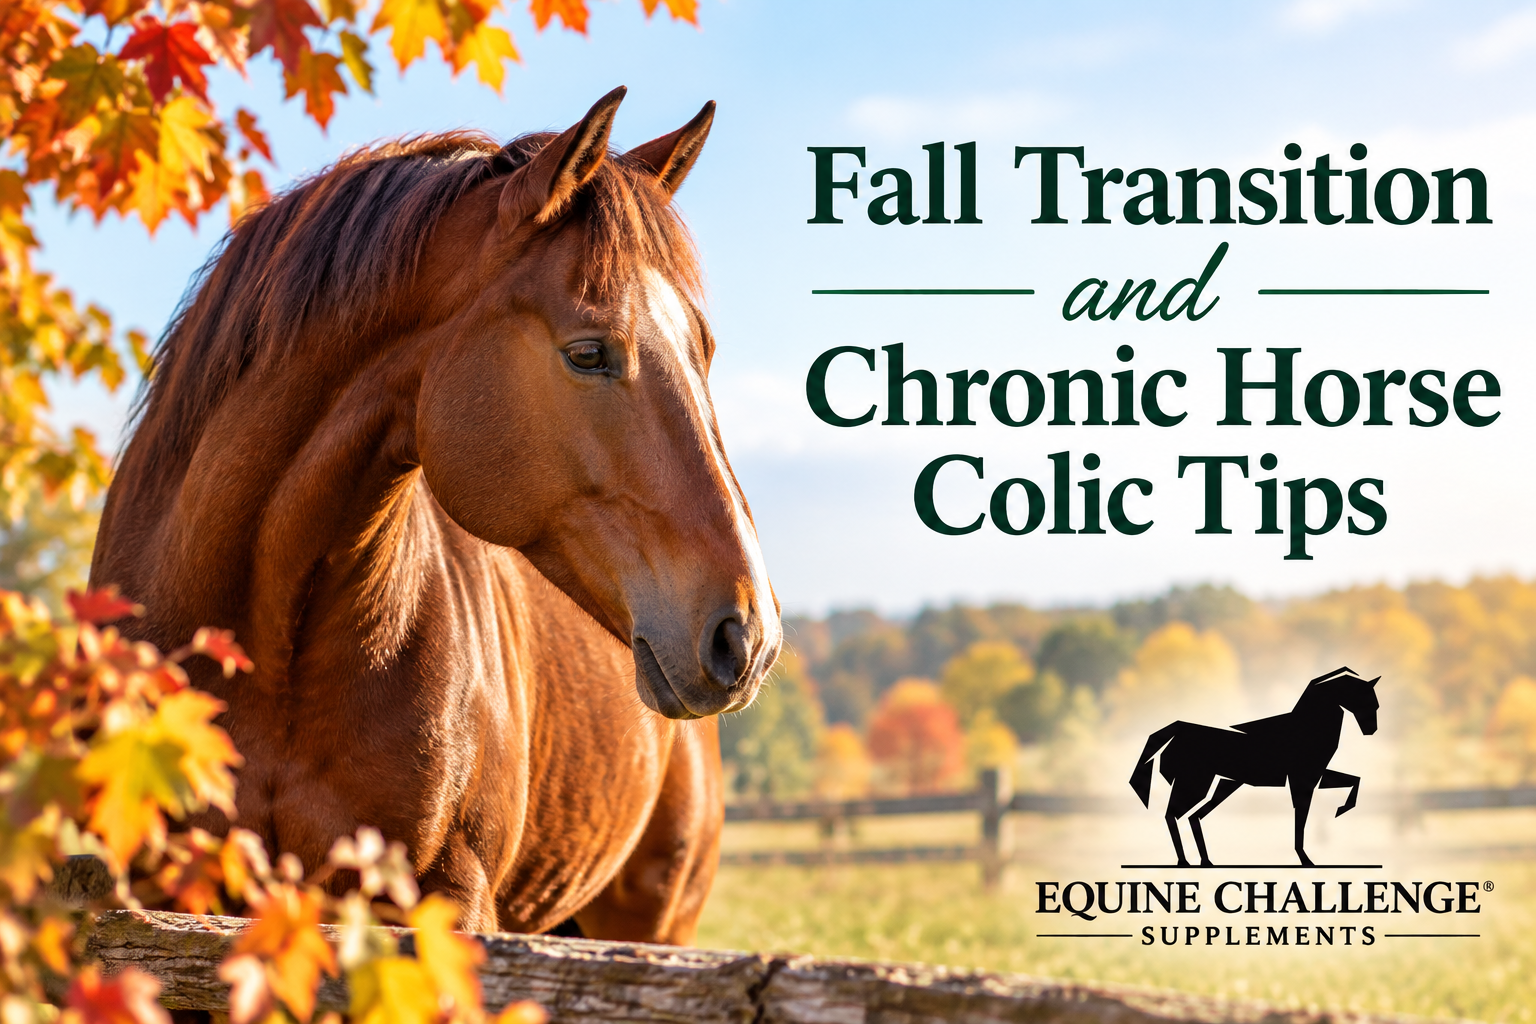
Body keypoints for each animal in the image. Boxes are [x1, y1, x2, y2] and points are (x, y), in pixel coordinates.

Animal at [88, 88, 782, 943]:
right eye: (588, 353)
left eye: (703, 350)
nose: (748, 635)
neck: (266, 650)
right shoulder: (159, 906)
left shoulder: (447, 902)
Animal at [1129, 667, 1379, 867]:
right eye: (1366, 701)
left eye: (1376, 705)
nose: (1372, 731)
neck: (1307, 727)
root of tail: (1177, 729)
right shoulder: (1302, 781)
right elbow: (1301, 818)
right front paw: (1305, 858)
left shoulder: (1315, 776)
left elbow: (1354, 781)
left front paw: (1341, 809)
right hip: (1194, 784)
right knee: (1173, 815)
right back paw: (1184, 861)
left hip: (1222, 785)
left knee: (1193, 817)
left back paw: (1205, 861)